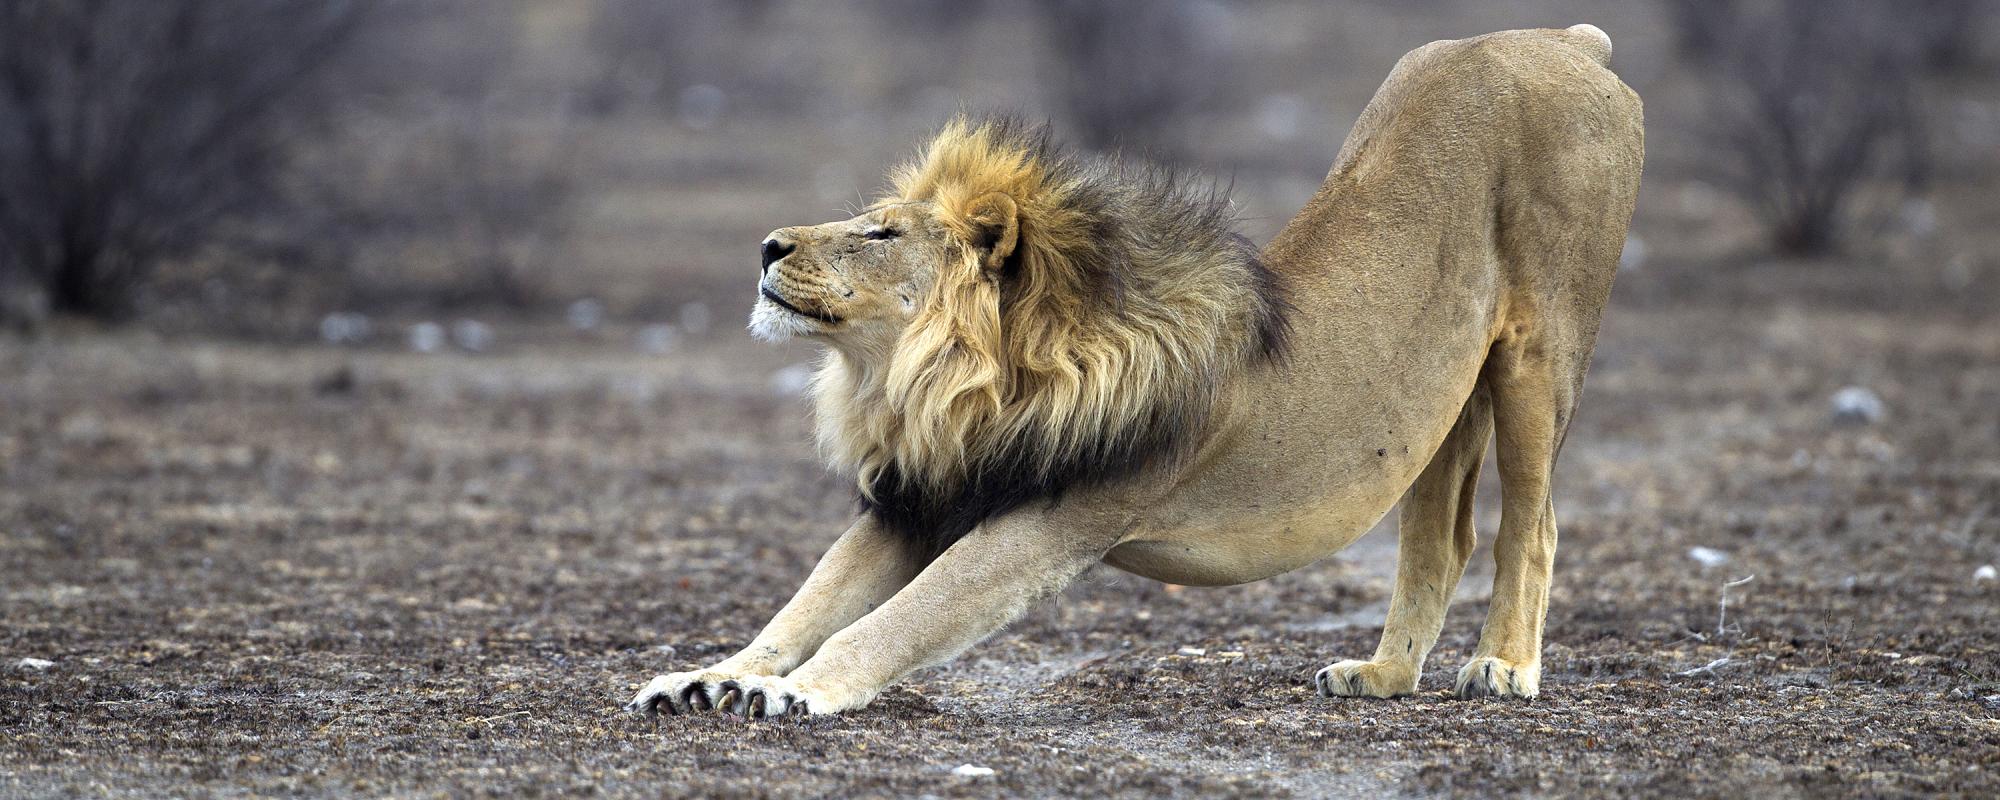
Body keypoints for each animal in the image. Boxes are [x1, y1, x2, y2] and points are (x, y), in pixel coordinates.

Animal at [628, 23, 1640, 720]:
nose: (766, 245)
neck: (936, 387)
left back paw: (1504, 666)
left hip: (1540, 353)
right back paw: (1384, 674)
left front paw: (797, 693)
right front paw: (709, 676)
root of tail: (1564, 38)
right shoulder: (921, 497)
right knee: (1441, 537)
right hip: (1441, 397)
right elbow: (804, 606)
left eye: (881, 233)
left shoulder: (1055, 520)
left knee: (1534, 523)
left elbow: (896, 619)